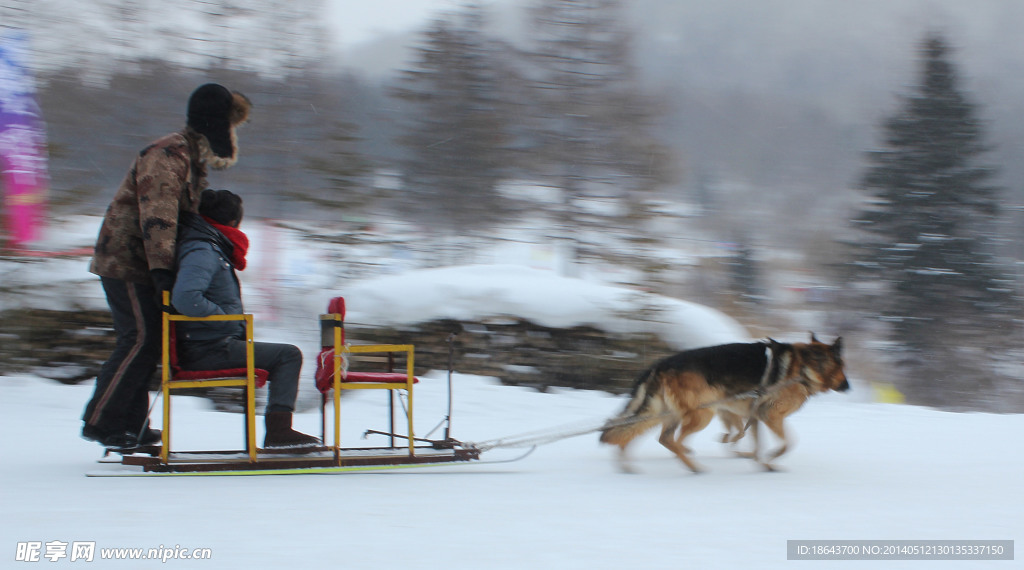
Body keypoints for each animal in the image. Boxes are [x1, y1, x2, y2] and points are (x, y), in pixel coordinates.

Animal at [598, 333, 847, 470]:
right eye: (843, 368)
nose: (848, 386)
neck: (807, 366)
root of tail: (660, 364)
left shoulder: (755, 418)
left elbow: (754, 444)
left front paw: (761, 463)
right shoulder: (769, 415)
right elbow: (787, 443)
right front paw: (770, 459)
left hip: (665, 413)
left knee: (635, 432)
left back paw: (626, 464)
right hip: (702, 414)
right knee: (671, 440)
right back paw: (693, 466)